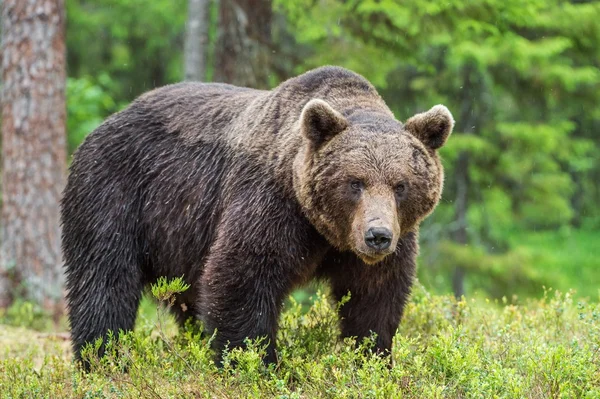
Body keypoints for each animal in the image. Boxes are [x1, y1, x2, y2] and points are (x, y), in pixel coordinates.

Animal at [62, 65, 454, 368]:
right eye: (354, 182)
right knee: (104, 281)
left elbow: (374, 299)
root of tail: (106, 121)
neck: (326, 231)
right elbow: (242, 278)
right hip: (116, 192)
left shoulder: (388, 243)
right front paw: (256, 364)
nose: (378, 236)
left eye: (400, 185)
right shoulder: (271, 204)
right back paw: (102, 359)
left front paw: (371, 358)